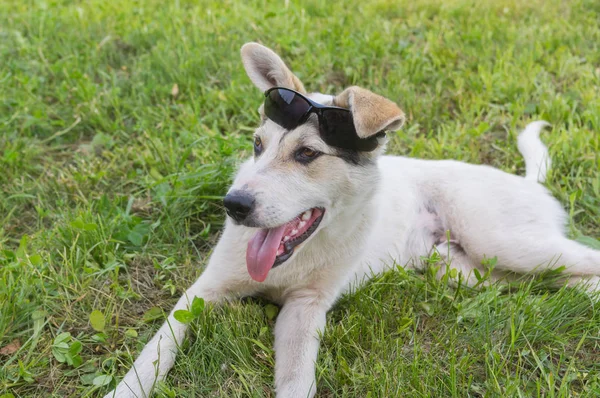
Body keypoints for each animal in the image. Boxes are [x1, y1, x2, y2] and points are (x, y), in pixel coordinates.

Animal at [105, 42, 600, 396]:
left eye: (307, 154)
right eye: (258, 146)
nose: (234, 205)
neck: (296, 259)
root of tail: (528, 182)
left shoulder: (305, 310)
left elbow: (296, 380)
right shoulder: (201, 293)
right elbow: (153, 353)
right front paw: (127, 389)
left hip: (502, 239)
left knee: (583, 261)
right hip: (459, 268)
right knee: (545, 281)